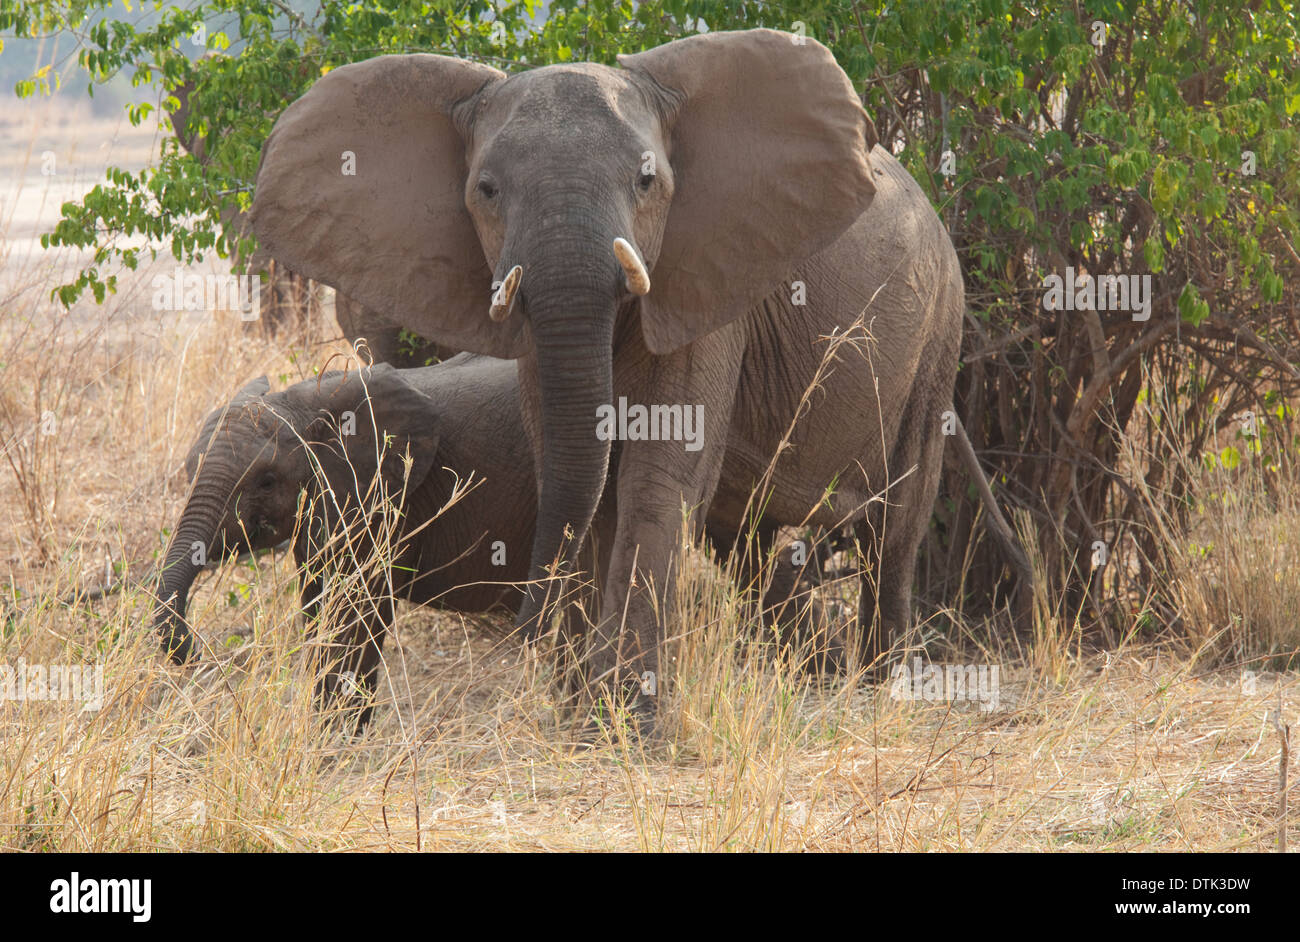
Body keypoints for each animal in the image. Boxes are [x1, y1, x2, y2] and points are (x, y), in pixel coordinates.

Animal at [152, 353, 533, 727]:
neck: (305, 404)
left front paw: (338, 736)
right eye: (189, 472)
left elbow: (355, 612)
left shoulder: (384, 501)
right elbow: (317, 603)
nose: (198, 652)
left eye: (267, 482)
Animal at [250, 27, 967, 722]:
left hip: (939, 330)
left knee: (895, 526)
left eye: (647, 182)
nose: (523, 627)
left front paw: (630, 722)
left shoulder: (701, 281)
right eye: (486, 191)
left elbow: (655, 477)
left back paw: (882, 691)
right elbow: (577, 474)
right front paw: (581, 717)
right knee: (748, 543)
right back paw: (820, 672)